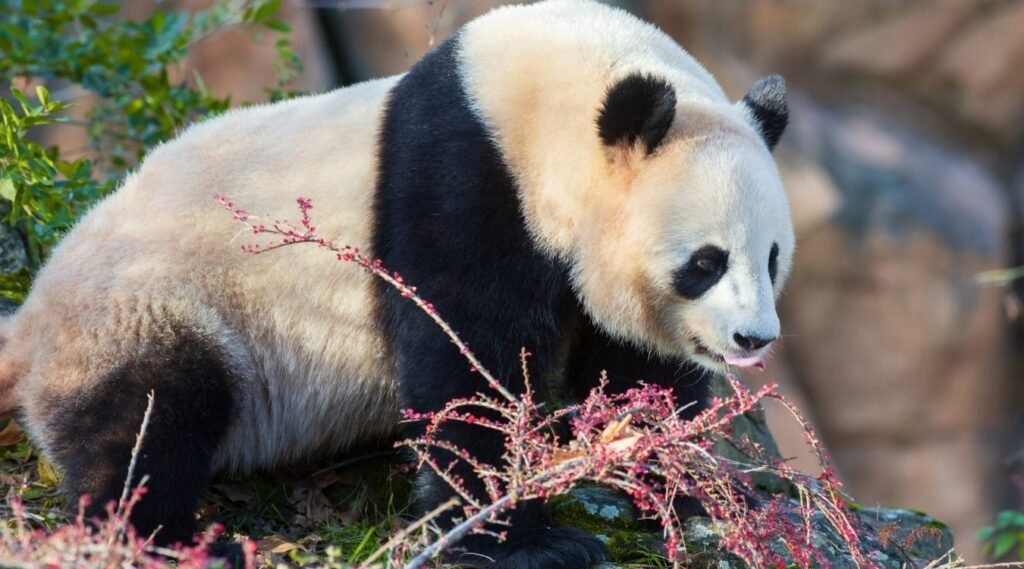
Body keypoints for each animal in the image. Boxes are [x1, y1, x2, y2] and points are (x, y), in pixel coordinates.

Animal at [0, 1, 793, 567]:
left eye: (773, 257)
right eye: (707, 262)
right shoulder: (461, 180)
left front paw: (694, 486)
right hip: (145, 306)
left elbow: (634, 371)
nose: (753, 338)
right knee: (149, 418)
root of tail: (30, 317)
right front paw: (525, 541)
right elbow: (465, 357)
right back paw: (168, 538)